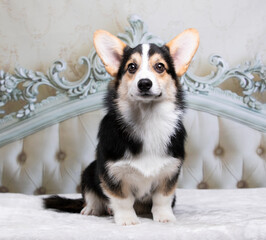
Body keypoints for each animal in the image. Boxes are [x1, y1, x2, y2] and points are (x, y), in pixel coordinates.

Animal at [43, 27, 198, 225]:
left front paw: (164, 217)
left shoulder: (169, 172)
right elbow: (122, 199)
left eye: (160, 67)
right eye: (131, 67)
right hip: (90, 170)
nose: (144, 83)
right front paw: (127, 219)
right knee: (91, 195)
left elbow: (162, 198)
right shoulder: (112, 171)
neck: (147, 118)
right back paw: (92, 208)